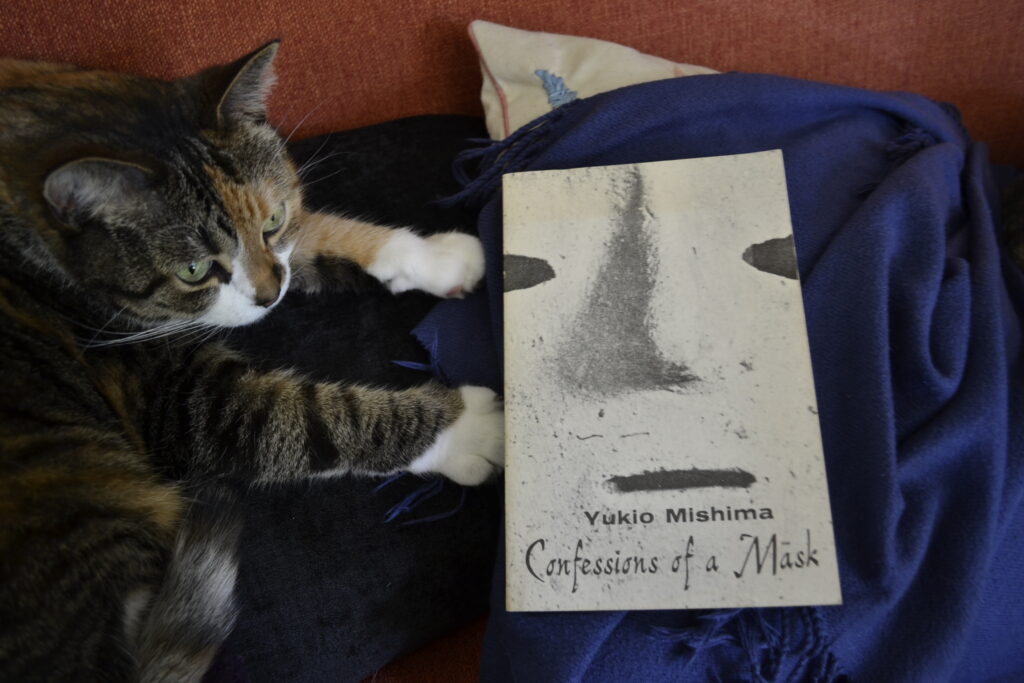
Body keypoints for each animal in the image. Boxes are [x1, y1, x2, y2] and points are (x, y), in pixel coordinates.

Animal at [0, 44, 503, 683]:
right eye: (192, 270)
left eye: (270, 221)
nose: (269, 297)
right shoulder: (174, 392)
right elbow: (310, 421)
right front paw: (472, 430)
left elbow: (315, 232)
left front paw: (436, 256)